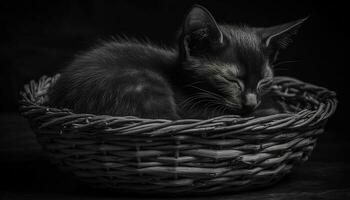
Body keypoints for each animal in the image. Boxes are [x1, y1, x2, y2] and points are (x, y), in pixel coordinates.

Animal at [48, 4, 306, 119]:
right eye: (231, 80)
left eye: (264, 82)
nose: (251, 103)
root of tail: (59, 97)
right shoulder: (193, 110)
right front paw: (276, 108)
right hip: (141, 86)